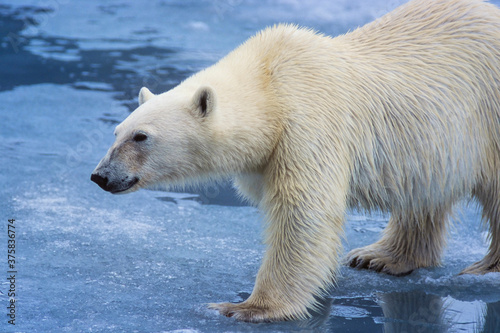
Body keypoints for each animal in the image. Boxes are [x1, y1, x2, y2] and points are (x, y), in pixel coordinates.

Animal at [92, 0, 500, 322]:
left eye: (141, 137)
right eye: (116, 132)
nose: (101, 176)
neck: (270, 86)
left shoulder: (308, 123)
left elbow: (302, 212)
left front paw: (247, 308)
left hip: (489, 112)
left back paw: (483, 268)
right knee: (424, 192)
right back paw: (380, 257)